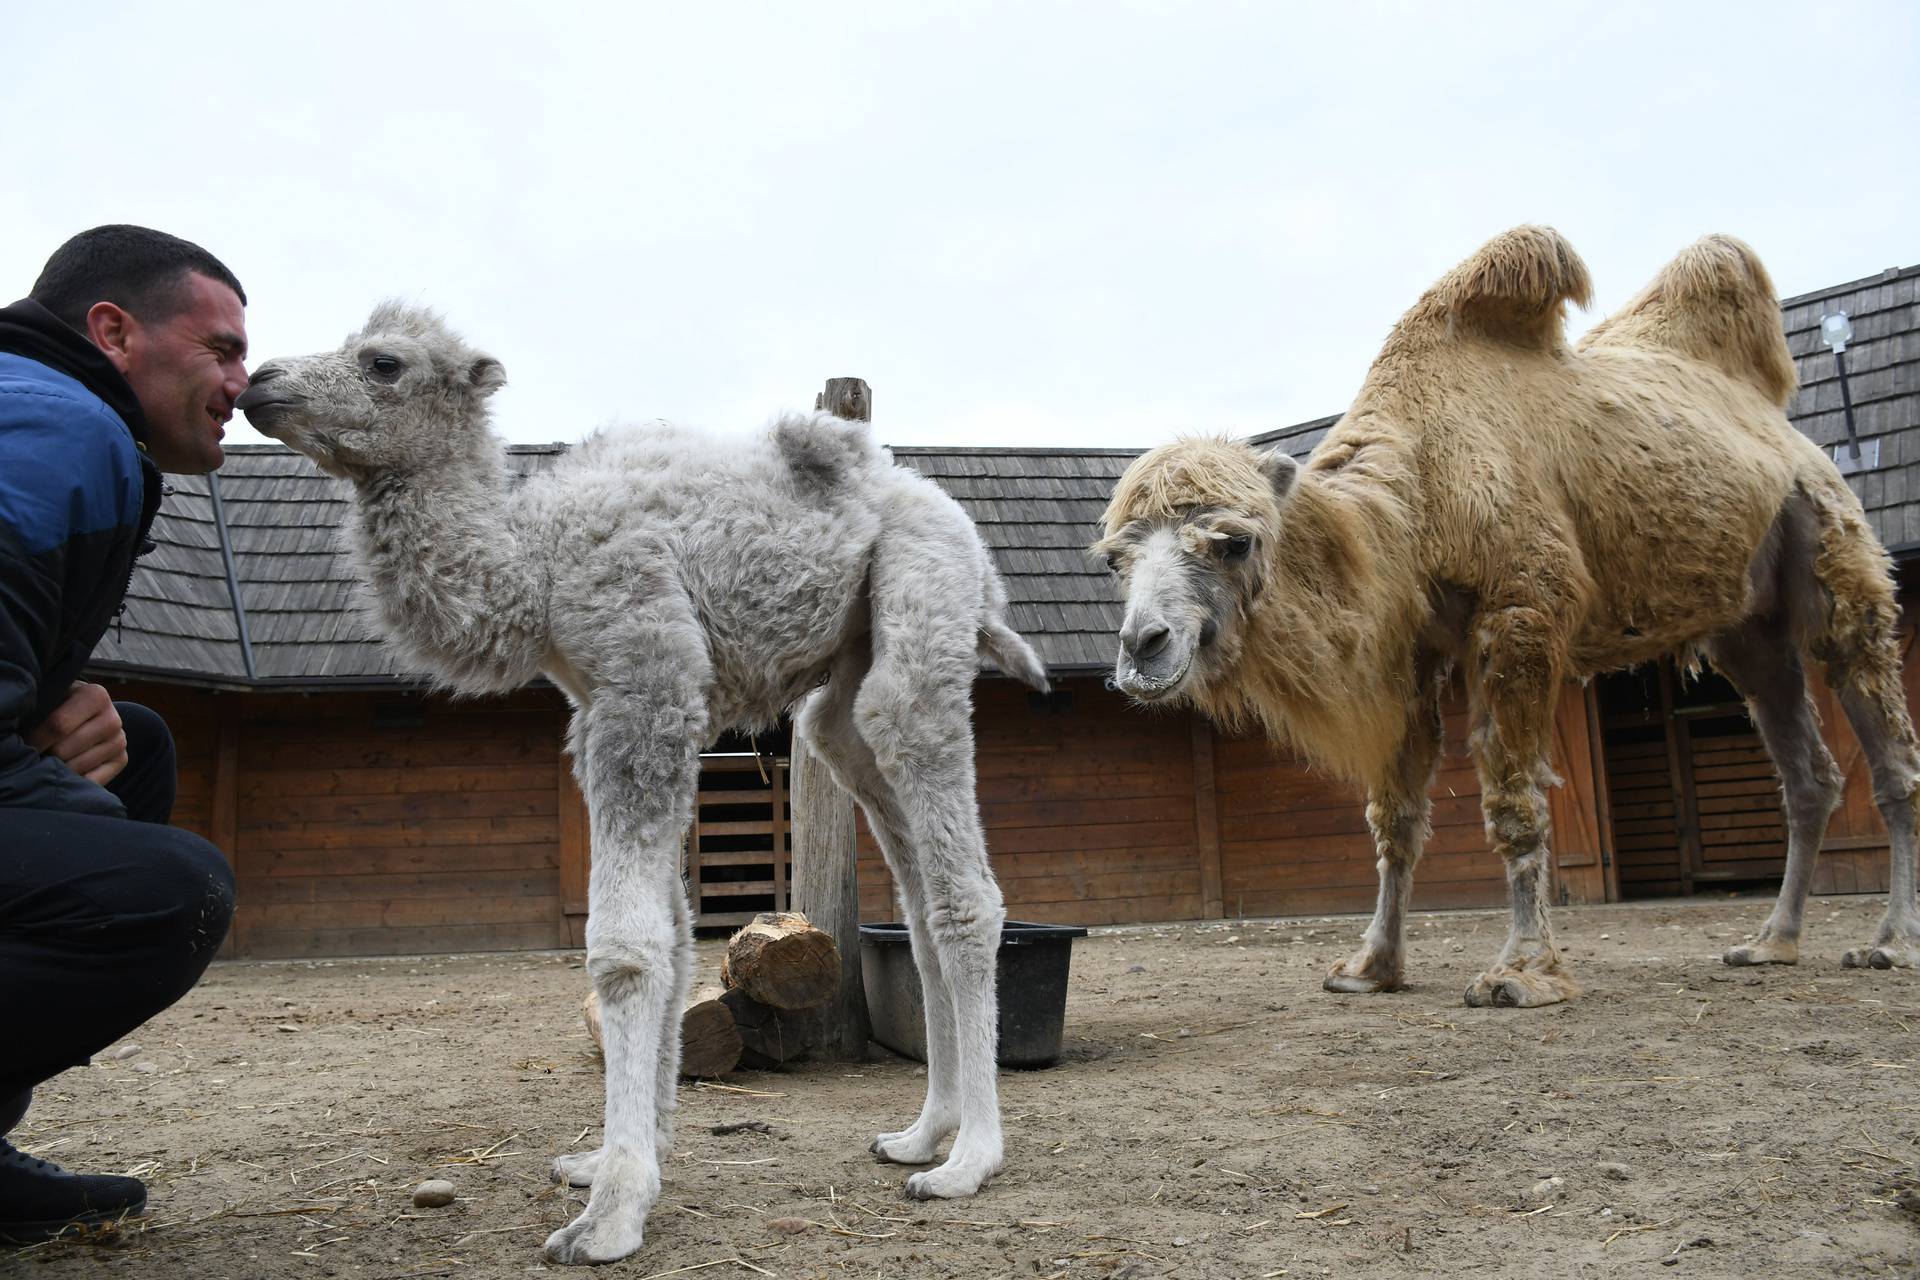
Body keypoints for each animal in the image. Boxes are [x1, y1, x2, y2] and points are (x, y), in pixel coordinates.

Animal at [238, 305, 1052, 1266]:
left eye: (383, 363)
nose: (259, 382)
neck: (534, 565)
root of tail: (958, 530)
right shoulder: (598, 711)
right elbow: (672, 932)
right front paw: (616, 1159)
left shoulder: (645, 687)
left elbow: (626, 949)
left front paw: (610, 1214)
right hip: (847, 689)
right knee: (910, 894)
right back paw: (921, 1134)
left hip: (922, 606)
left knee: (963, 889)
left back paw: (970, 1161)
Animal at [1098, 233, 1920, 1013]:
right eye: (1113, 559)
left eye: (1235, 541)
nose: (1143, 646)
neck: (1415, 500)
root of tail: (1791, 432)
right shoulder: (1414, 649)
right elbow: (1395, 815)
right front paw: (1370, 968)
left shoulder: (1523, 613)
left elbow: (1514, 798)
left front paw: (1521, 972)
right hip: (1747, 625)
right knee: (1807, 769)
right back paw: (1771, 942)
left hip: (1833, 551)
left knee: (1886, 746)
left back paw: (1888, 943)